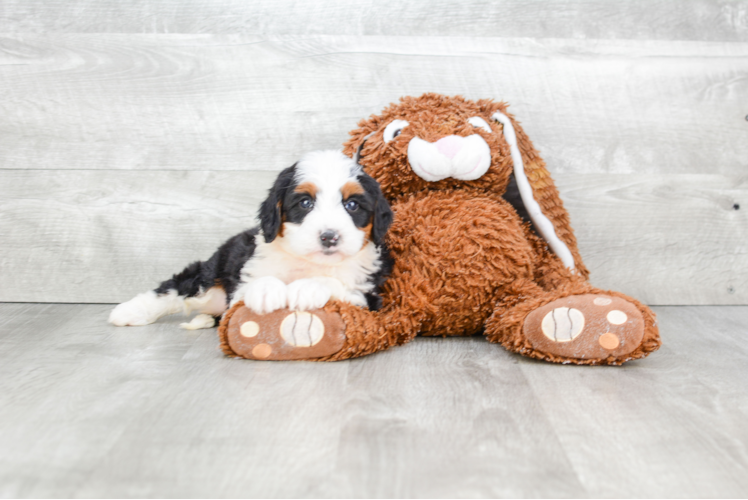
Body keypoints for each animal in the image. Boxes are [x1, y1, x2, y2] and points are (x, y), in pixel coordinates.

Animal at [110, 150, 394, 330]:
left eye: (352, 205)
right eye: (305, 203)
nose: (329, 237)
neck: (308, 262)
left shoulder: (369, 295)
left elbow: (334, 282)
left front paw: (307, 287)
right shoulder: (243, 281)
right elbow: (259, 281)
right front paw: (266, 291)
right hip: (211, 274)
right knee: (175, 288)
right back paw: (128, 312)